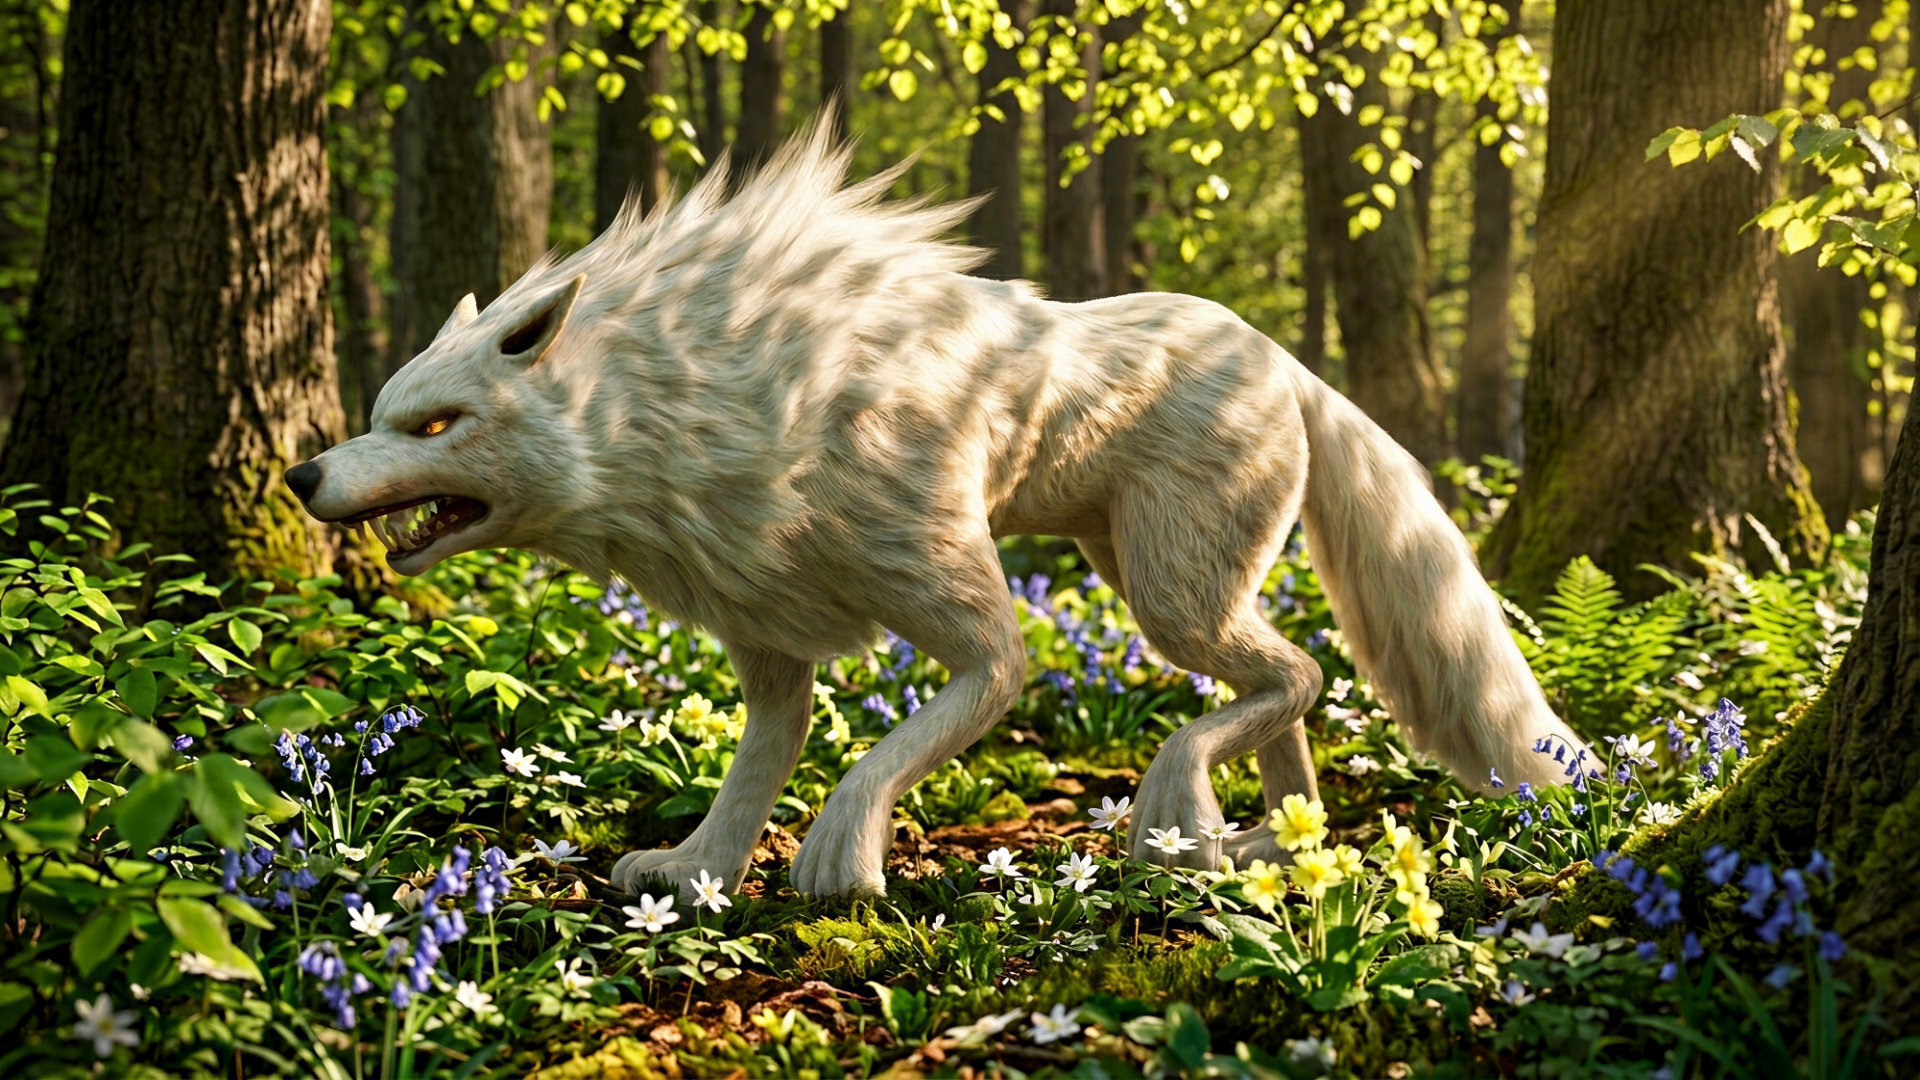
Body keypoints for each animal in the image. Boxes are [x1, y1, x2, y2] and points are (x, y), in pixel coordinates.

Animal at [284, 124, 1587, 899]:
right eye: (381, 412)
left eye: (435, 426)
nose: (300, 478)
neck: (702, 401)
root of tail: (1290, 360)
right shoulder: (769, 635)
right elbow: (761, 764)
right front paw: (696, 870)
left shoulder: (963, 611)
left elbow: (938, 719)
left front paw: (839, 861)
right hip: (1144, 574)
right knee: (1294, 690)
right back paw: (1270, 845)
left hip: (1167, 594)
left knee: (1296, 675)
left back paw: (1180, 820)